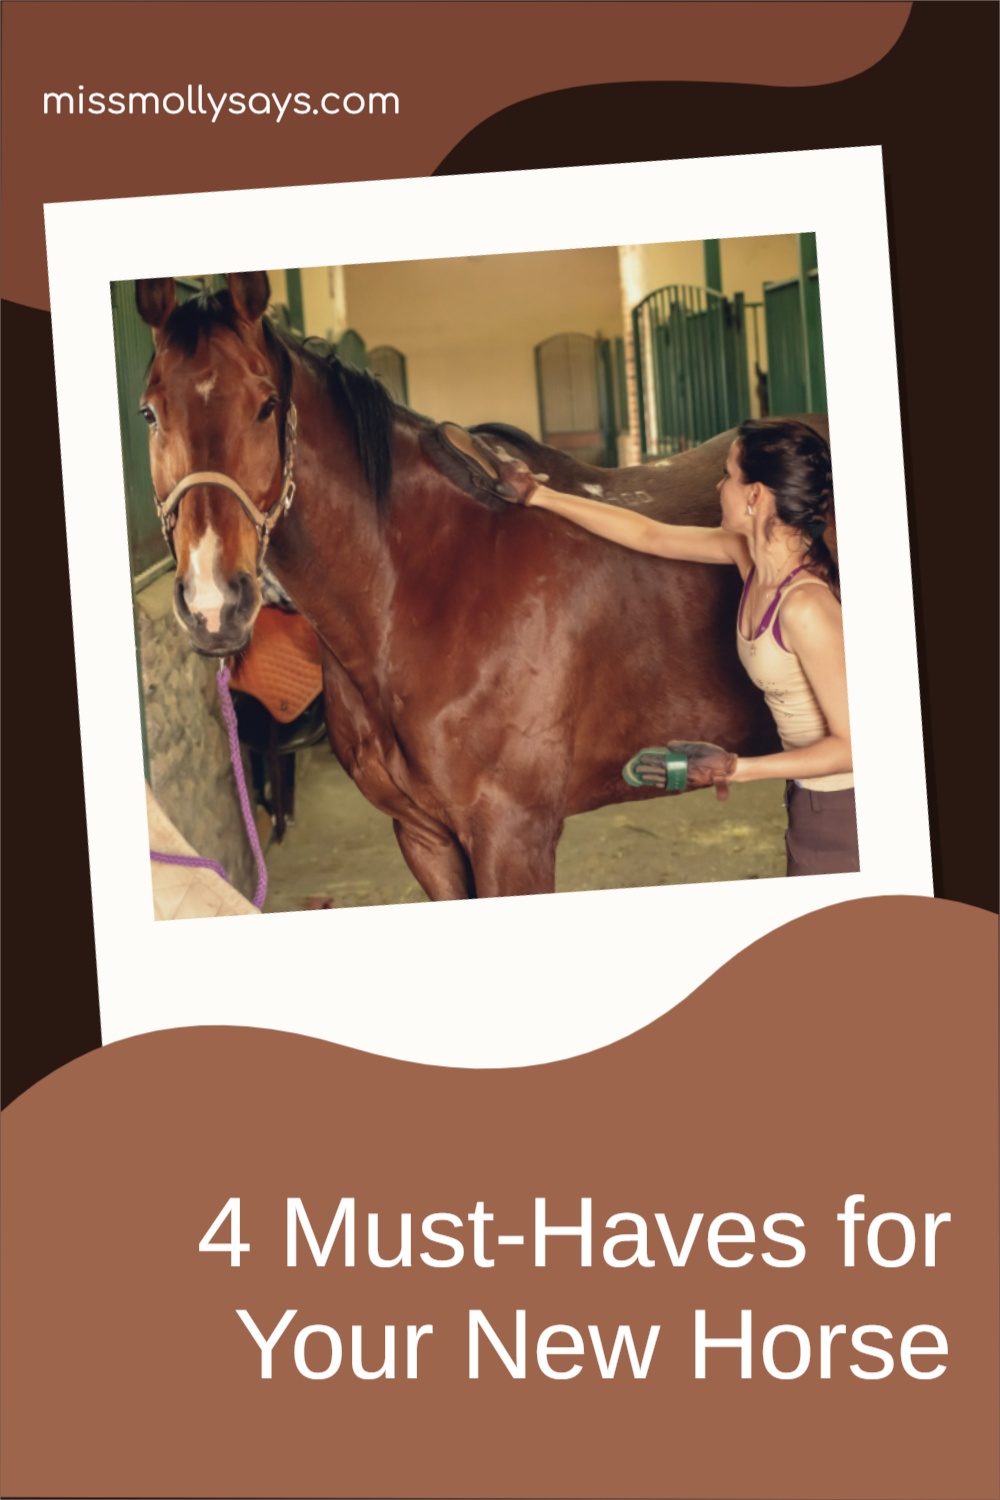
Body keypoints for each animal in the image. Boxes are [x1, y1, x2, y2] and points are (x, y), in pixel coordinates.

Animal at [134, 271, 826, 900]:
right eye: (148, 412)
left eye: (266, 405)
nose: (213, 604)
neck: (424, 585)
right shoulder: (425, 838)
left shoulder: (512, 835)